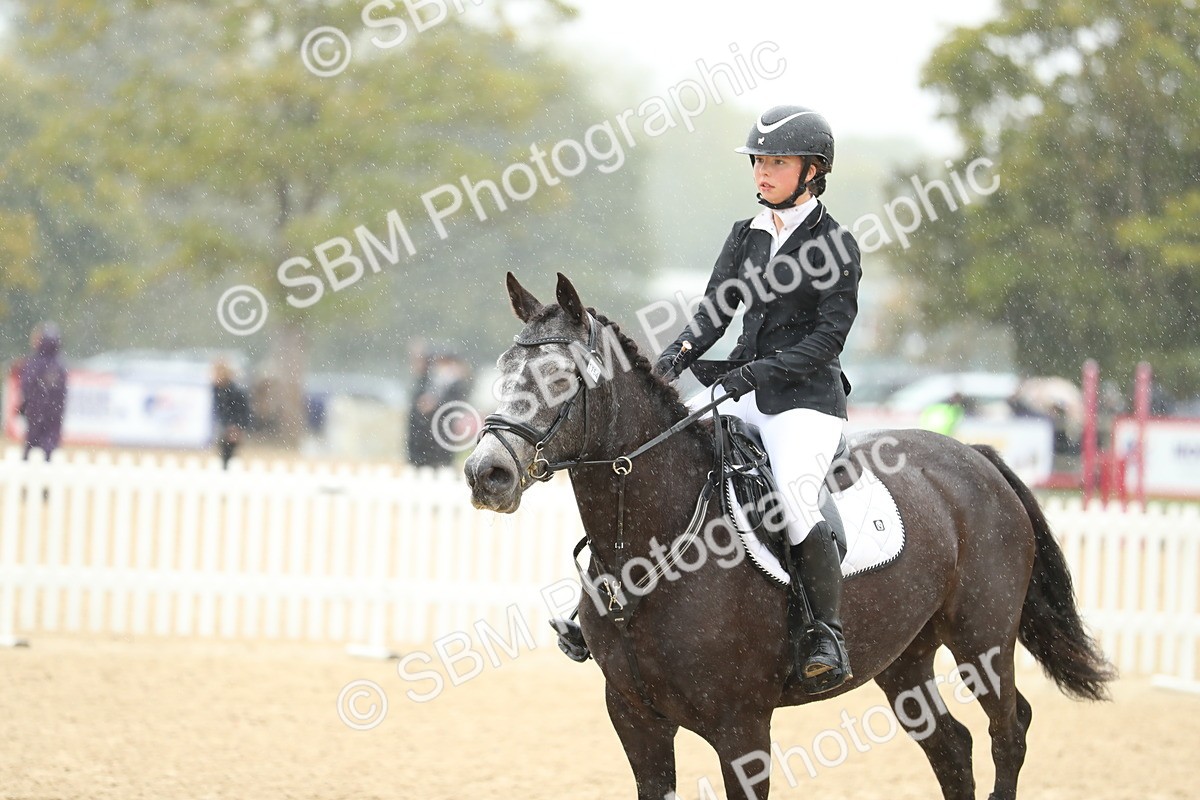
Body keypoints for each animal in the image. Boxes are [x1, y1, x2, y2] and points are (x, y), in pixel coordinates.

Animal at [464, 273, 1114, 800]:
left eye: (559, 378)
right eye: (501, 372)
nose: (485, 474)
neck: (645, 550)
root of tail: (977, 457)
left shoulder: (741, 728)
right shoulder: (635, 720)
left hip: (983, 638)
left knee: (1008, 731)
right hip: (904, 655)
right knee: (951, 747)